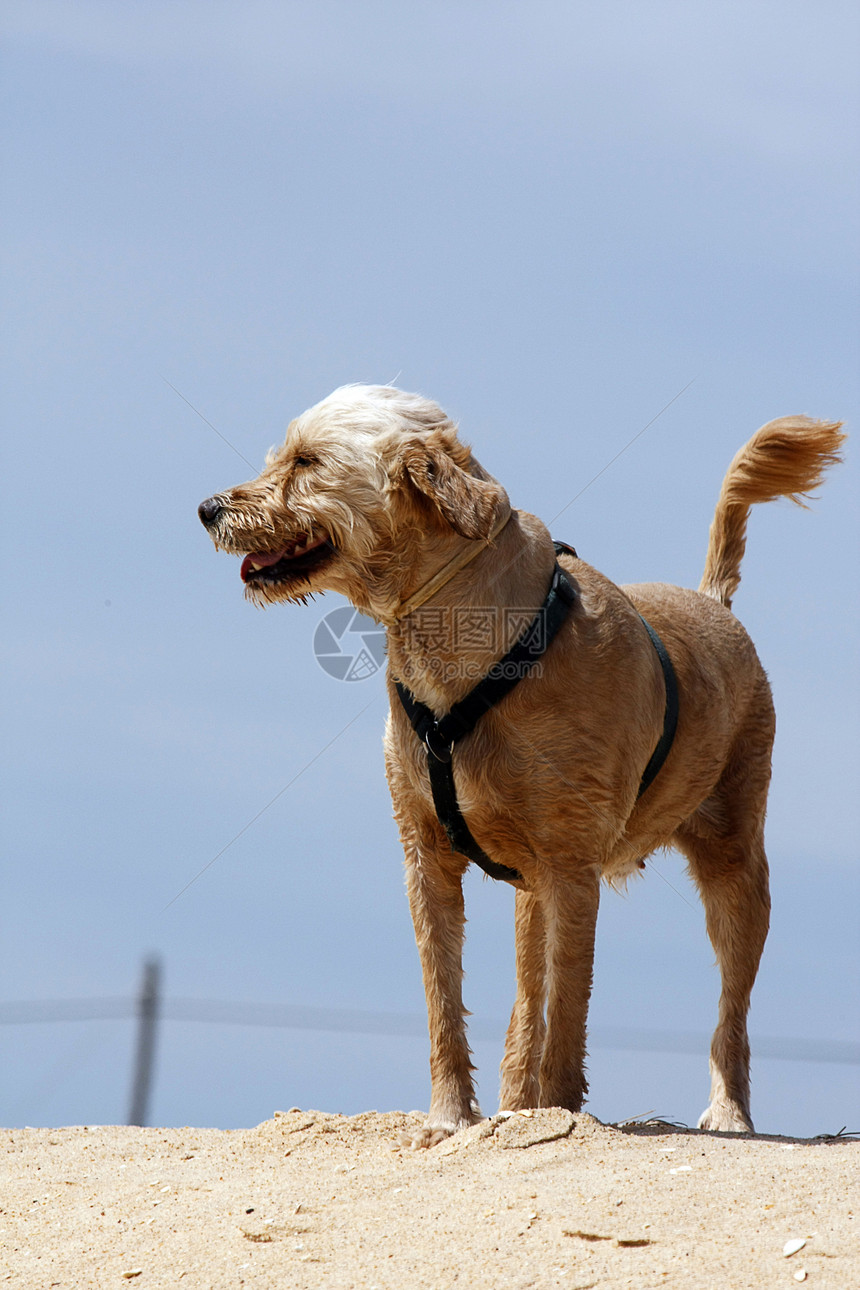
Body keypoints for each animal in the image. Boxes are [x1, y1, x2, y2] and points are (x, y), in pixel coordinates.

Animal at [198, 384, 845, 1150]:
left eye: (306, 461)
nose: (206, 508)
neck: (460, 644)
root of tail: (713, 602)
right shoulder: (429, 859)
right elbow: (449, 1003)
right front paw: (454, 1117)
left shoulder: (572, 867)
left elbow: (567, 1009)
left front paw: (560, 1116)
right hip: (533, 889)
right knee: (524, 1008)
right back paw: (515, 1106)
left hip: (734, 863)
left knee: (730, 1009)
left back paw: (728, 1112)